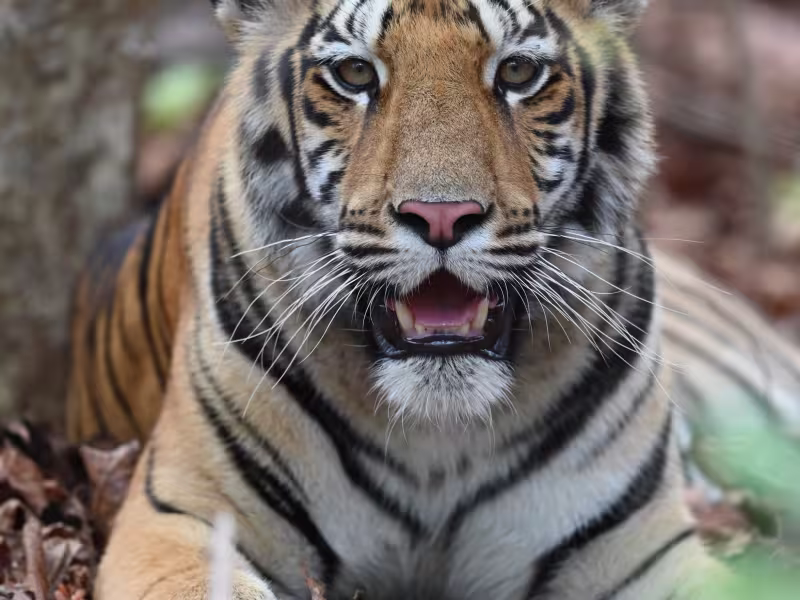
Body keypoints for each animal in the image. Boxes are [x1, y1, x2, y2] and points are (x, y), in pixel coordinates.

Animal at [64, 0, 800, 597]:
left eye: (518, 73)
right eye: (354, 75)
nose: (441, 217)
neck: (438, 439)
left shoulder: (644, 548)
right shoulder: (180, 516)